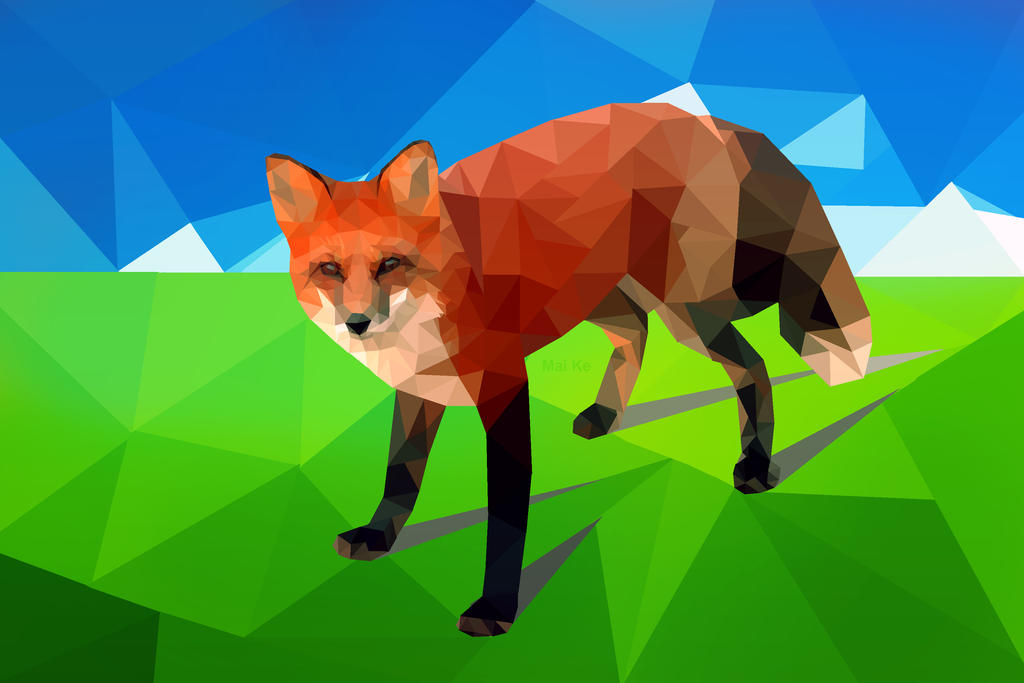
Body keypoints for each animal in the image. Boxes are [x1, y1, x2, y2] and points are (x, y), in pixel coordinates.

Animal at [265, 102, 871, 637]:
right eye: (329, 270)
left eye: (391, 264)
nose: (358, 323)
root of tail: (708, 120)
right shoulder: (420, 389)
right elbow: (400, 474)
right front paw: (379, 537)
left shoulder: (505, 390)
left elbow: (506, 517)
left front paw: (495, 609)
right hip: (600, 297)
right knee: (637, 335)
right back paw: (605, 415)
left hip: (689, 312)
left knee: (755, 366)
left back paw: (758, 465)